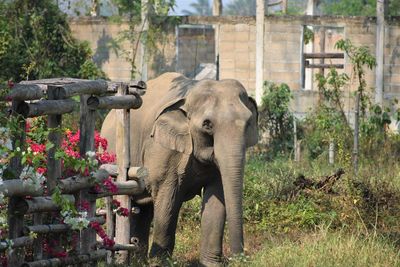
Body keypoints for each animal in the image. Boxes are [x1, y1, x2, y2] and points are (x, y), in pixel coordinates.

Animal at [101, 71, 260, 266]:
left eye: (248, 122)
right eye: (207, 124)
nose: (239, 258)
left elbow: (218, 196)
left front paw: (211, 264)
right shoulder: (162, 149)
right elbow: (168, 197)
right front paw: (160, 263)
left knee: (143, 209)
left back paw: (138, 259)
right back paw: (121, 259)